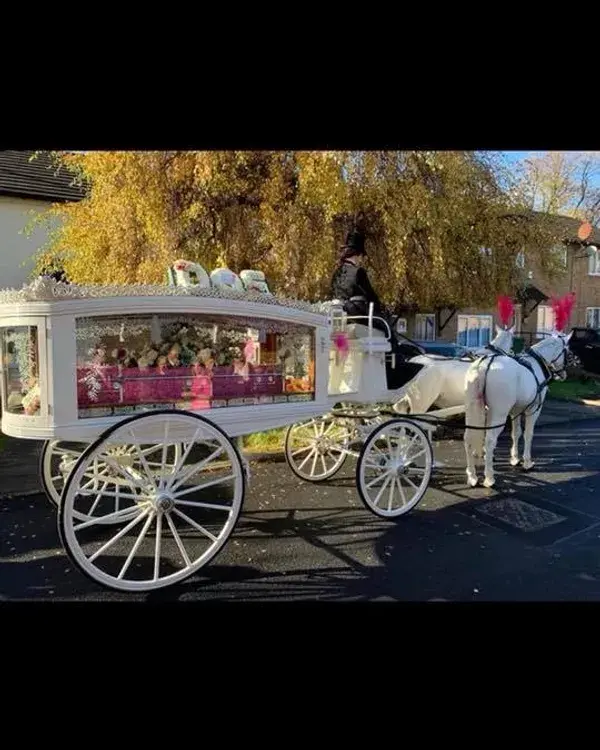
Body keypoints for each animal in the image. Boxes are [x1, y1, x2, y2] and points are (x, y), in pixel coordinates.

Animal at [464, 334, 572, 488]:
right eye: (566, 351)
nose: (563, 375)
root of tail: (486, 364)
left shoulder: (515, 411)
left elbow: (515, 434)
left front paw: (515, 458)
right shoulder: (533, 410)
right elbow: (528, 434)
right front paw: (527, 462)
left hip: (472, 409)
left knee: (468, 438)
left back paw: (472, 476)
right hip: (499, 414)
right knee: (490, 440)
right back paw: (489, 477)